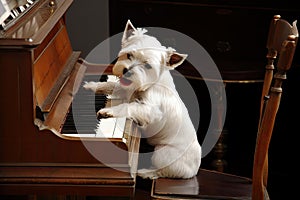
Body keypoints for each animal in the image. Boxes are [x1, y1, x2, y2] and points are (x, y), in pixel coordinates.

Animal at [84, 19, 202, 180]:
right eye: (128, 55)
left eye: (147, 65)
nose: (127, 71)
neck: (147, 84)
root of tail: (194, 171)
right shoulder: (125, 88)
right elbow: (111, 85)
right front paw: (92, 85)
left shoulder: (150, 110)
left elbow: (128, 106)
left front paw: (107, 111)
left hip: (162, 153)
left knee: (162, 171)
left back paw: (145, 172)